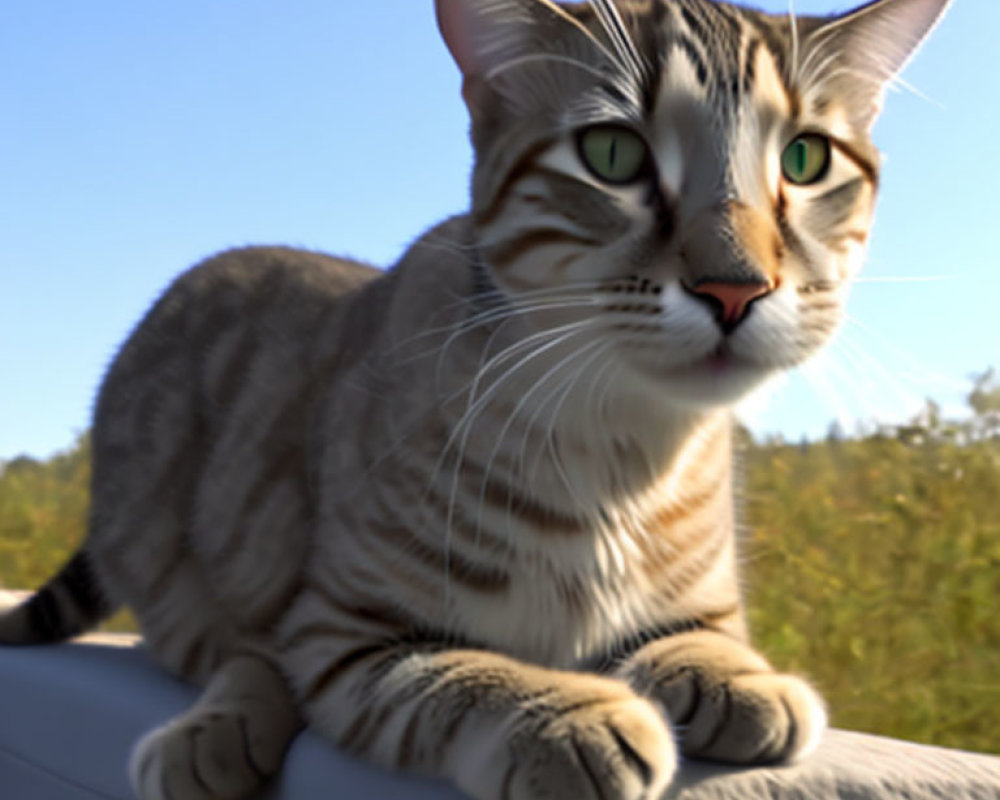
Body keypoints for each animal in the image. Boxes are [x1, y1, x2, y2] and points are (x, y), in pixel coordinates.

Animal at [0, 0, 948, 796]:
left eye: (804, 158)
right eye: (613, 154)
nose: (734, 287)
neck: (625, 455)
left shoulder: (705, 606)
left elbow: (703, 637)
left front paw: (741, 681)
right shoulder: (349, 632)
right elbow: (455, 676)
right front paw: (569, 712)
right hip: (183, 559)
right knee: (242, 652)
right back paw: (211, 736)